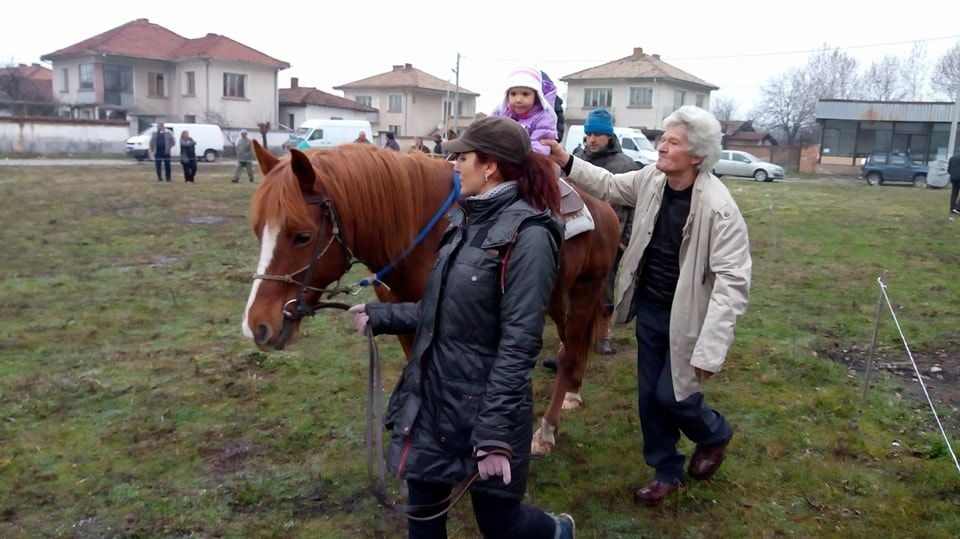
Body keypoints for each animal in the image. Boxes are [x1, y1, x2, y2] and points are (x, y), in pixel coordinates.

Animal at [239, 141, 616, 454]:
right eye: (258, 230)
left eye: (302, 236)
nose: (257, 326)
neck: (423, 231)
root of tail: (604, 207)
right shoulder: (406, 315)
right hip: (553, 296)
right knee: (570, 344)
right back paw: (573, 391)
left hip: (586, 290)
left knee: (571, 348)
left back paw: (548, 428)